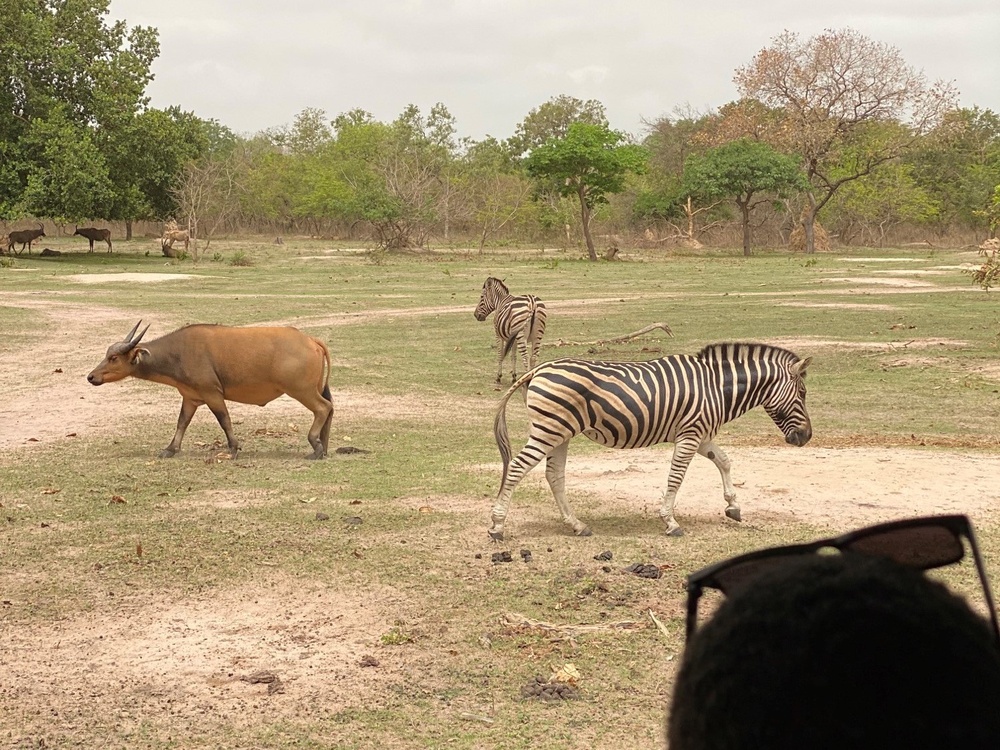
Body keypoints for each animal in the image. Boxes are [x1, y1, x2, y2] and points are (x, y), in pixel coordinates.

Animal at [87, 322, 336, 462]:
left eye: (113, 357)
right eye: (107, 354)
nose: (91, 376)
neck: (179, 352)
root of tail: (310, 340)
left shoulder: (212, 394)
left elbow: (224, 420)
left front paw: (234, 448)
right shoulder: (190, 398)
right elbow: (182, 423)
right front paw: (170, 449)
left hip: (301, 390)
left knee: (323, 408)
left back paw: (315, 446)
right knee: (330, 408)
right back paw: (323, 446)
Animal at [490, 344, 812, 544]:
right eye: (803, 393)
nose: (807, 437)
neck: (717, 387)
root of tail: (538, 369)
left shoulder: (699, 434)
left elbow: (724, 460)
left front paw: (733, 506)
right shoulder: (691, 433)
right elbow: (676, 477)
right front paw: (670, 522)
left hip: (560, 432)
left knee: (554, 475)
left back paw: (577, 525)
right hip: (549, 429)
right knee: (517, 468)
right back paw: (497, 526)